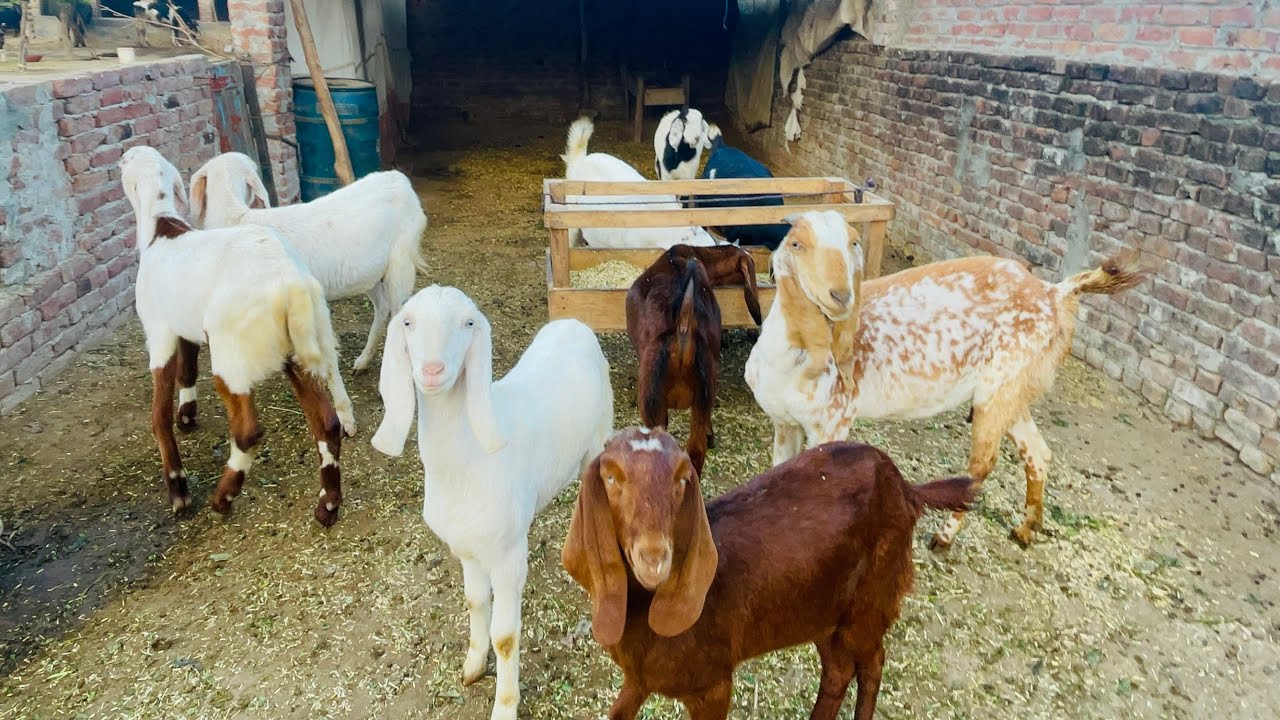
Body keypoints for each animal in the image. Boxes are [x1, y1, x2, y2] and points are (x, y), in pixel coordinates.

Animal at [119, 146, 356, 525]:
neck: (161, 227)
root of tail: (291, 284)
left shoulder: (159, 332)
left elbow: (158, 413)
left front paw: (178, 486)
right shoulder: (186, 323)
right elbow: (188, 367)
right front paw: (187, 415)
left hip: (234, 356)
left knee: (247, 431)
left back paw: (223, 498)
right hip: (301, 347)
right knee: (328, 424)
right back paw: (327, 505)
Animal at [189, 152, 429, 372]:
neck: (236, 218)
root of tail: (398, 178)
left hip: (401, 263)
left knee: (399, 313)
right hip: (370, 273)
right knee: (383, 307)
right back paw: (363, 361)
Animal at [371, 285, 614, 720]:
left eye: (468, 322)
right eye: (408, 322)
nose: (431, 370)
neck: (466, 461)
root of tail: (575, 323)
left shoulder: (509, 555)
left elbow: (505, 636)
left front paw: (504, 704)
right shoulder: (467, 548)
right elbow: (473, 602)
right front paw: (472, 665)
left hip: (600, 437)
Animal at [563, 427, 975, 720]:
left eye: (682, 480)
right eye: (611, 478)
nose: (654, 557)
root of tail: (905, 487)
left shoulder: (714, 686)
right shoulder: (637, 678)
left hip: (872, 598)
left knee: (872, 662)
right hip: (819, 610)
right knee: (839, 669)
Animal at [745, 210, 1150, 549]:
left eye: (854, 243)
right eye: (796, 244)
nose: (840, 296)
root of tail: (1055, 294)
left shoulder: (831, 423)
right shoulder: (784, 423)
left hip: (999, 388)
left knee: (982, 466)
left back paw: (944, 536)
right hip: (1010, 390)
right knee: (1037, 452)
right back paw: (1025, 530)